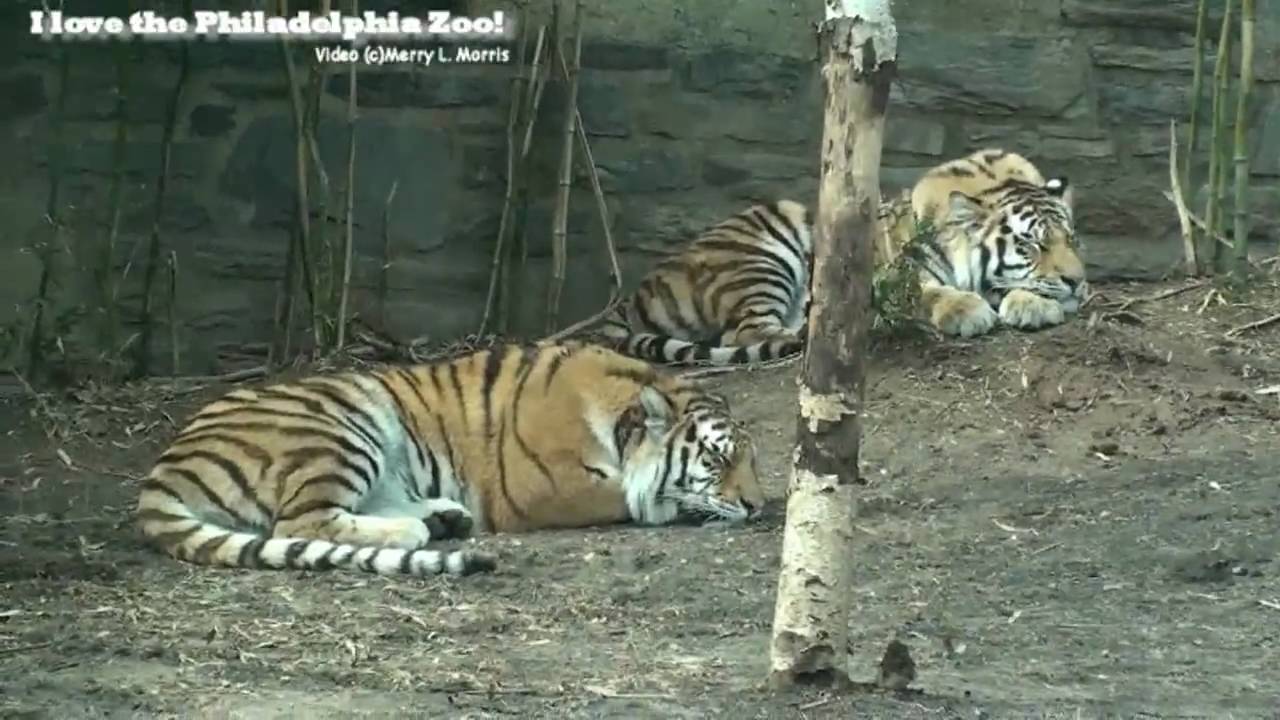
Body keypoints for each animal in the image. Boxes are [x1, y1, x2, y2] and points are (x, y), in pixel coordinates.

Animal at [134, 340, 765, 578]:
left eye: (754, 462)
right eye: (715, 458)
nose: (761, 507)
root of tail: (163, 468)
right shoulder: (536, 490)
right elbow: (631, 496)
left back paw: (443, 517)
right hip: (342, 422)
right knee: (301, 520)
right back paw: (416, 529)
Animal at [876, 148, 1087, 338]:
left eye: (1070, 239)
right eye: (1033, 244)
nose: (1077, 281)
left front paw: (1034, 305)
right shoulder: (903, 279)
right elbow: (928, 293)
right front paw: (967, 311)